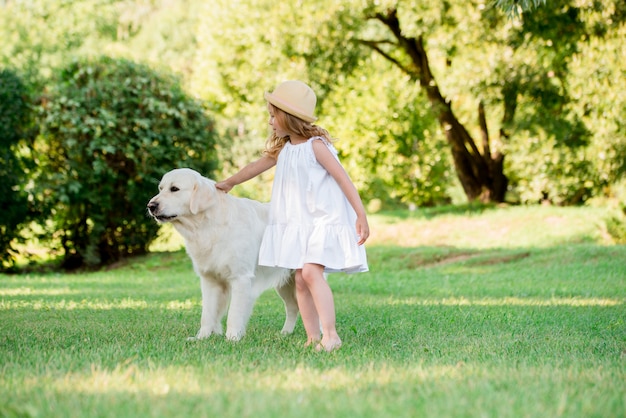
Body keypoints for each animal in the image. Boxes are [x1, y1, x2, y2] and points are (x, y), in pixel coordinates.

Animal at [149, 168, 300, 342]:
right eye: (160, 189)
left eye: (174, 189)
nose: (150, 206)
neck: (208, 227)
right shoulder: (210, 280)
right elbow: (207, 314)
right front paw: (202, 337)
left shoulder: (240, 278)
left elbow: (234, 313)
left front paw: (232, 339)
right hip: (285, 284)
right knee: (293, 306)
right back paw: (285, 333)